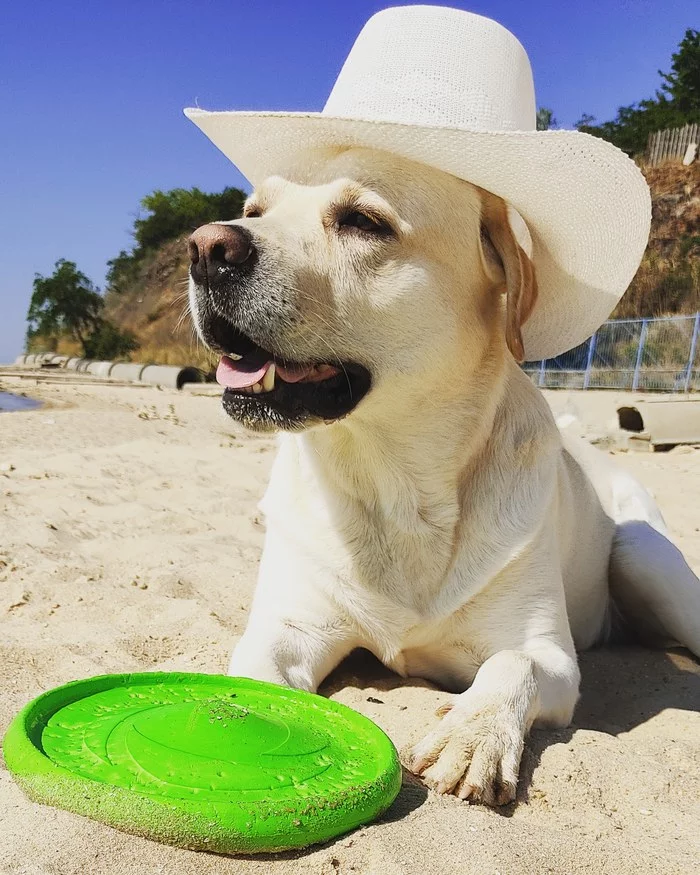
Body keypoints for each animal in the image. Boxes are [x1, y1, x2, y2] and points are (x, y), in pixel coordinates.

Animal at [187, 145, 700, 808]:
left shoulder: (550, 655)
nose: (206, 247)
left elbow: (512, 664)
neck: (396, 486)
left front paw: (472, 736)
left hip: (642, 553)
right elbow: (256, 675)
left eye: (363, 220)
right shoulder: (289, 624)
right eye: (253, 212)